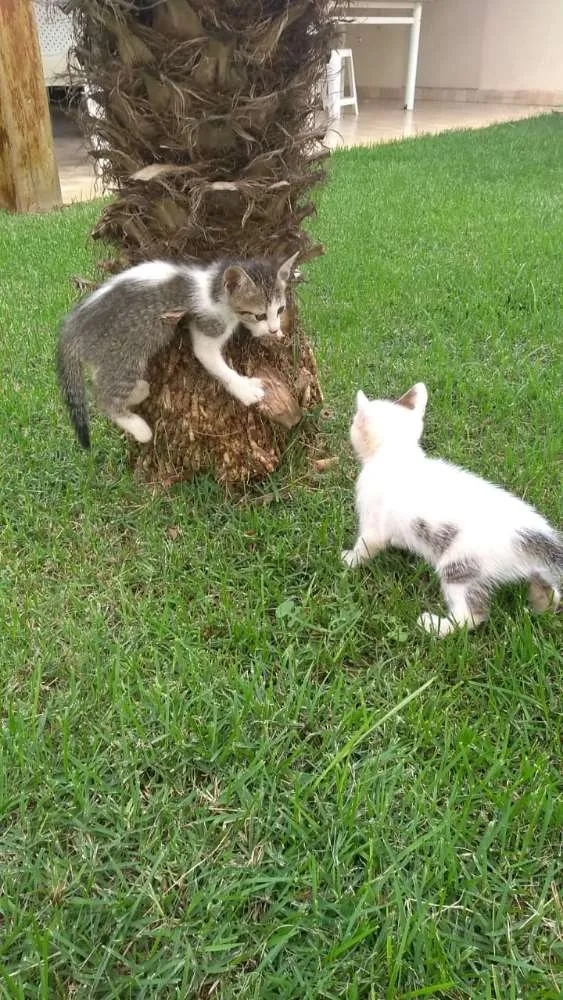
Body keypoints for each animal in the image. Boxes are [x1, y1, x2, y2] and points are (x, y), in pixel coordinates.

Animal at [57, 254, 300, 450]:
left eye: (280, 309)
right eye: (259, 314)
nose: (274, 328)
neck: (213, 288)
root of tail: (70, 331)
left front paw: (271, 332)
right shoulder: (208, 326)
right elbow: (217, 365)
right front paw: (245, 388)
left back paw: (139, 391)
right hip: (124, 355)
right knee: (104, 398)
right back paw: (139, 428)